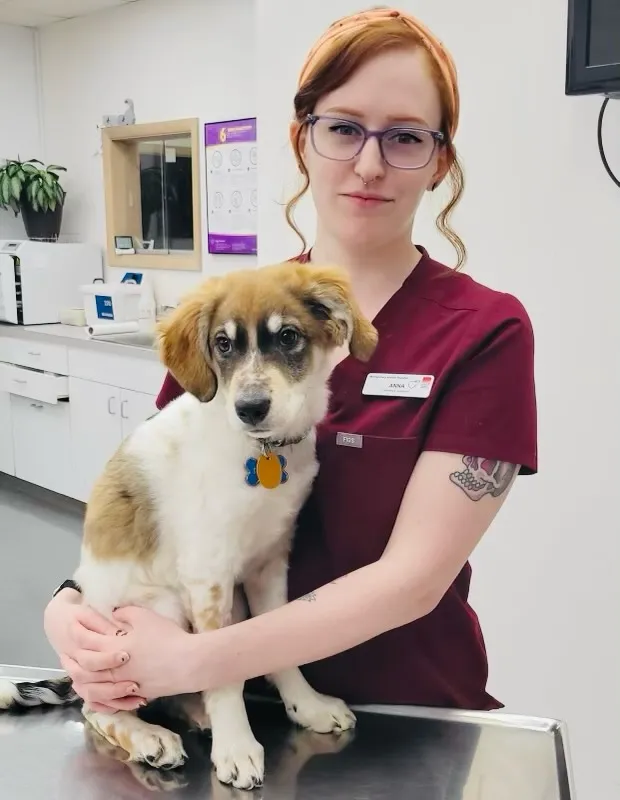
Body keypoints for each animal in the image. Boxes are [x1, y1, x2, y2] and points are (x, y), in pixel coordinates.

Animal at [0, 260, 378, 788]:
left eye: (288, 336)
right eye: (223, 344)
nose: (250, 408)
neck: (261, 452)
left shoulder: (268, 563)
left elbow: (277, 643)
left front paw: (307, 706)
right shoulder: (208, 574)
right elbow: (218, 666)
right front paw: (236, 747)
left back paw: (199, 715)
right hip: (161, 611)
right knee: (101, 708)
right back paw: (149, 736)